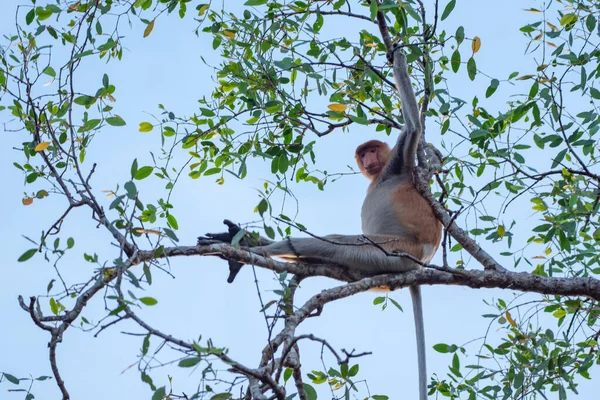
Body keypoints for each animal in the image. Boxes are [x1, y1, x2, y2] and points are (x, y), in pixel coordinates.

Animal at [202, 49, 440, 400]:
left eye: (373, 150)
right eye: (363, 153)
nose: (368, 158)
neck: (380, 176)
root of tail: (423, 258)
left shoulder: (398, 164)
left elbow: (412, 128)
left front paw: (396, 53)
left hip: (392, 251)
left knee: (331, 242)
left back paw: (253, 252)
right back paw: (244, 246)